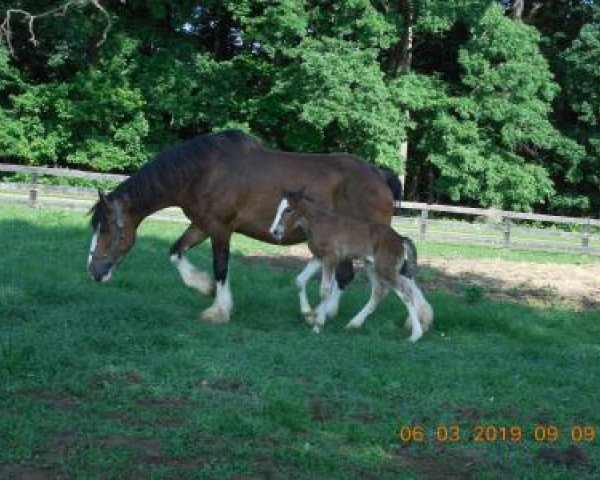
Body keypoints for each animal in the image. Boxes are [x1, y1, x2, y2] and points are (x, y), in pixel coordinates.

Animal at [86, 130, 400, 322]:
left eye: (107, 229)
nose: (94, 272)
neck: (204, 172)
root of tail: (380, 176)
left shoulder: (221, 229)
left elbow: (221, 267)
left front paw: (219, 309)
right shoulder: (202, 225)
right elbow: (176, 253)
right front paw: (204, 288)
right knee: (344, 276)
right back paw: (325, 312)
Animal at [268, 189, 432, 340]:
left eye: (288, 209)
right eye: (278, 208)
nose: (274, 231)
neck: (319, 223)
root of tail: (400, 238)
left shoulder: (330, 258)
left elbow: (325, 290)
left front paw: (318, 325)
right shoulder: (318, 257)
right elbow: (300, 280)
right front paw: (308, 314)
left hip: (385, 269)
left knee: (406, 293)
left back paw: (415, 335)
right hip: (371, 266)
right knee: (379, 292)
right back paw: (353, 324)